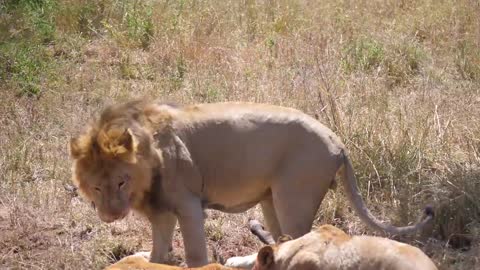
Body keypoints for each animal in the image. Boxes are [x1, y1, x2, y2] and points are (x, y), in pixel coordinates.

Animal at [69, 100, 434, 266]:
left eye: (120, 182)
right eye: (97, 187)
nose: (111, 215)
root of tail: (338, 142)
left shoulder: (188, 206)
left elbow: (196, 252)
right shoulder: (161, 211)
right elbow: (159, 252)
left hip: (293, 198)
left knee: (296, 241)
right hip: (271, 200)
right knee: (279, 241)